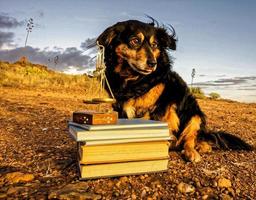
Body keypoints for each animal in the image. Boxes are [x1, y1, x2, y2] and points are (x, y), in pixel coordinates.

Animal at [95, 19, 252, 162]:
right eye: (135, 41)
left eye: (155, 45)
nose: (152, 63)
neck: (134, 80)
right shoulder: (120, 106)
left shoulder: (162, 107)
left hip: (195, 115)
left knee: (190, 139)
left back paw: (193, 151)